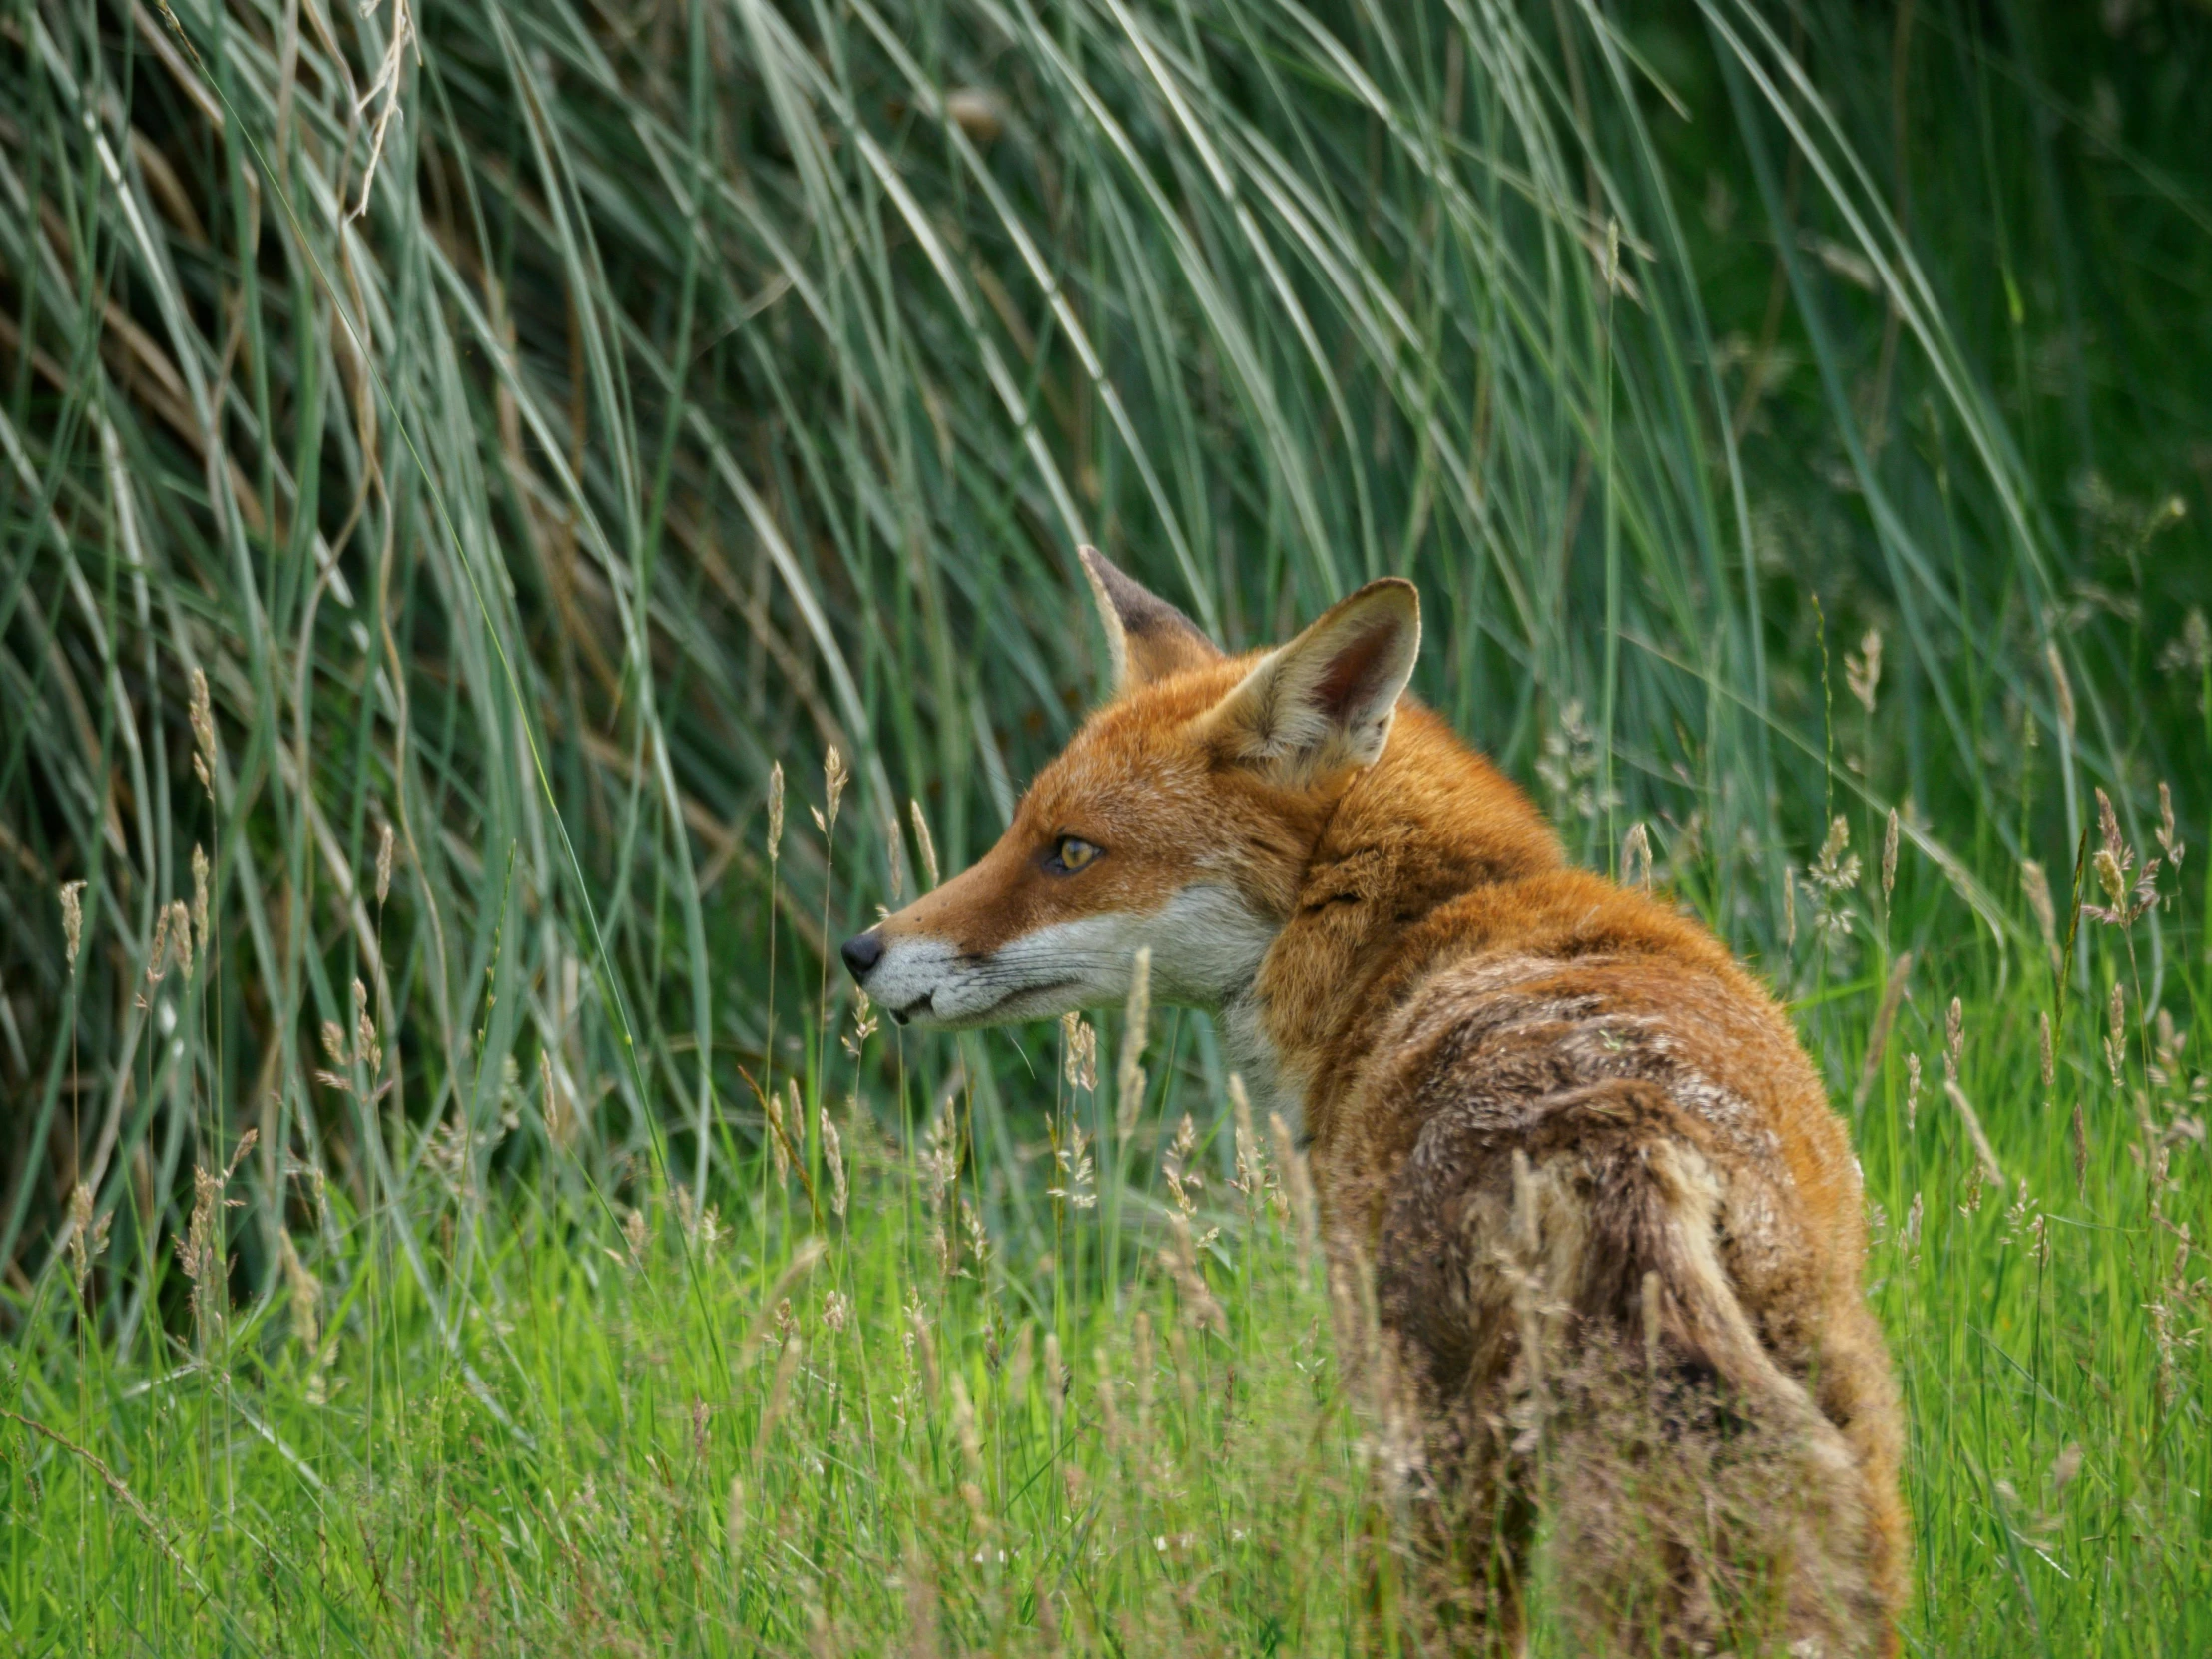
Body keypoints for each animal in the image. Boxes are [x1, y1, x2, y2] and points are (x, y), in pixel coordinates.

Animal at [835, 553, 1911, 1654]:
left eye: (1070, 853)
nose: (861, 951)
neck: (1412, 928)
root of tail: (1623, 1133)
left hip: (1443, 1453)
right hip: (1852, 1445)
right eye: (1021, 834)